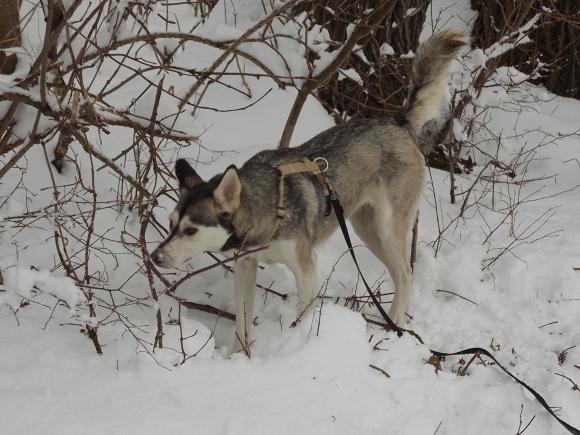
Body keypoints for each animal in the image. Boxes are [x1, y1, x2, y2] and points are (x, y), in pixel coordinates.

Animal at [152, 32, 468, 352]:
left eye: (190, 230)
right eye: (170, 224)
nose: (155, 257)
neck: (268, 207)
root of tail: (396, 121)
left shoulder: (305, 270)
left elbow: (303, 317)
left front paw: (297, 343)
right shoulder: (245, 266)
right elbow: (242, 325)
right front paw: (241, 357)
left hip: (387, 228)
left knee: (405, 273)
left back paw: (395, 327)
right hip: (367, 230)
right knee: (398, 273)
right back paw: (390, 322)